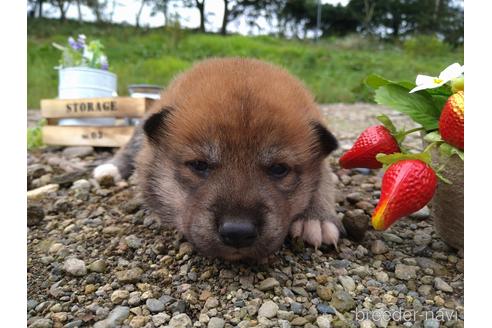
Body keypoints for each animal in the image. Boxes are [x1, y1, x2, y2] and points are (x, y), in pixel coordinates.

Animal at [94, 57, 344, 260]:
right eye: (199, 165)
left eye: (279, 169)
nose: (238, 232)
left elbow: (324, 180)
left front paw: (317, 219)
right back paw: (109, 169)